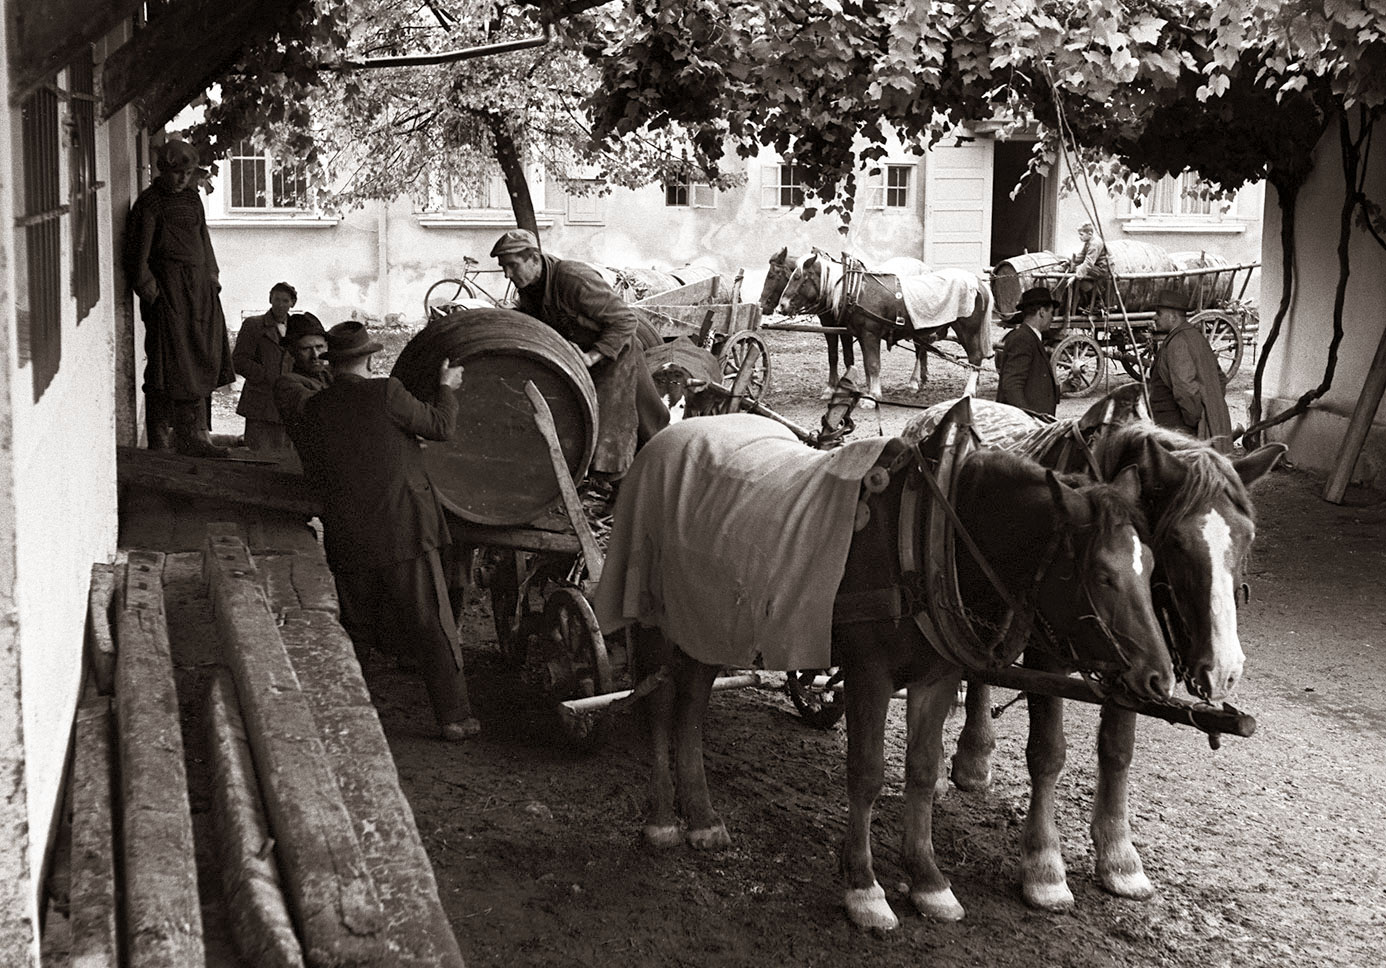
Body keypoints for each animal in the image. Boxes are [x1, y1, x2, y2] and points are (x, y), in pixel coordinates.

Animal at [596, 401, 1175, 931]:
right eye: (1102, 575)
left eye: (1150, 566)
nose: (1159, 678)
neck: (929, 537)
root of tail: (662, 437)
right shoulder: (868, 673)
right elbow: (867, 773)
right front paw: (864, 887)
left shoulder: (936, 676)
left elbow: (920, 771)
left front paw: (928, 880)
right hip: (654, 614)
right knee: (661, 707)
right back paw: (662, 820)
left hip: (709, 618)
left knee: (692, 704)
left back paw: (702, 817)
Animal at [759, 247, 929, 398]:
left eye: (773, 275)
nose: (762, 305)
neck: (843, 289)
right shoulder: (830, 326)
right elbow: (834, 355)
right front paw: (833, 388)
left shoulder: (845, 329)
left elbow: (849, 357)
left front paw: (848, 386)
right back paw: (923, 377)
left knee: (919, 350)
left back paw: (914, 382)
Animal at [778, 250, 994, 408]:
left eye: (797, 277)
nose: (781, 306)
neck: (856, 290)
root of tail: (978, 283)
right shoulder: (860, 336)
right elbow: (866, 365)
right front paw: (868, 393)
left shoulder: (870, 334)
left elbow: (873, 365)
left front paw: (872, 396)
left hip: (968, 330)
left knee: (975, 357)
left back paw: (967, 392)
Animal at [904, 388, 1287, 910]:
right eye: (1176, 541)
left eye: (1247, 537)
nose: (1226, 668)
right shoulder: (1048, 655)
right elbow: (1048, 752)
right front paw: (1043, 864)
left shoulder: (1137, 663)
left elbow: (1118, 750)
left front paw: (1118, 855)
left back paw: (974, 758)